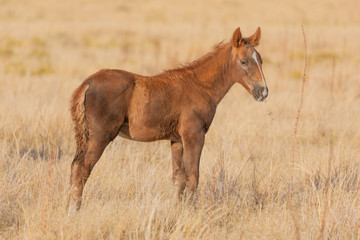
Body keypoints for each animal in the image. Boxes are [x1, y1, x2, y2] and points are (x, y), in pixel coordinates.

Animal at [69, 26, 268, 210]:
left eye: (261, 60)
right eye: (243, 61)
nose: (263, 92)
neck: (200, 86)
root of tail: (87, 84)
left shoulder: (177, 140)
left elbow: (179, 178)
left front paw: (178, 209)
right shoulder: (194, 135)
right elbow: (193, 176)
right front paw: (190, 211)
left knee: (74, 166)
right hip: (101, 136)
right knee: (82, 168)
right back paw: (75, 210)